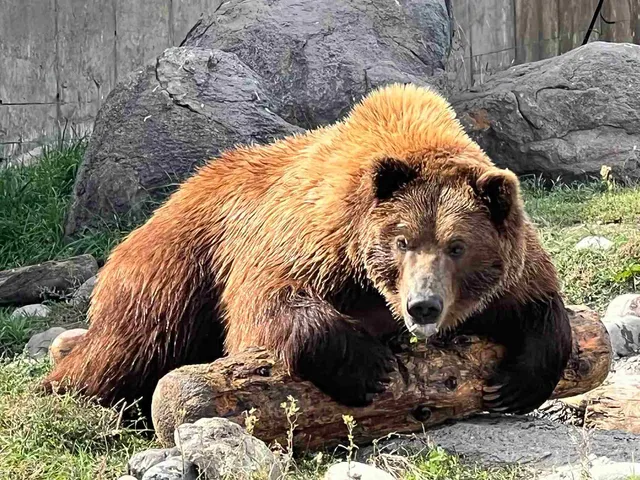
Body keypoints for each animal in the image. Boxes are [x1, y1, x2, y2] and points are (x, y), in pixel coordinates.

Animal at [47, 84, 572, 414]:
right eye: (402, 241)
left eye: (457, 246)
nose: (422, 306)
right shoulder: (316, 239)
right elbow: (267, 298)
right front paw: (369, 367)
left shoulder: (510, 262)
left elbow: (538, 303)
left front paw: (515, 385)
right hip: (177, 262)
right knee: (133, 342)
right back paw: (68, 386)